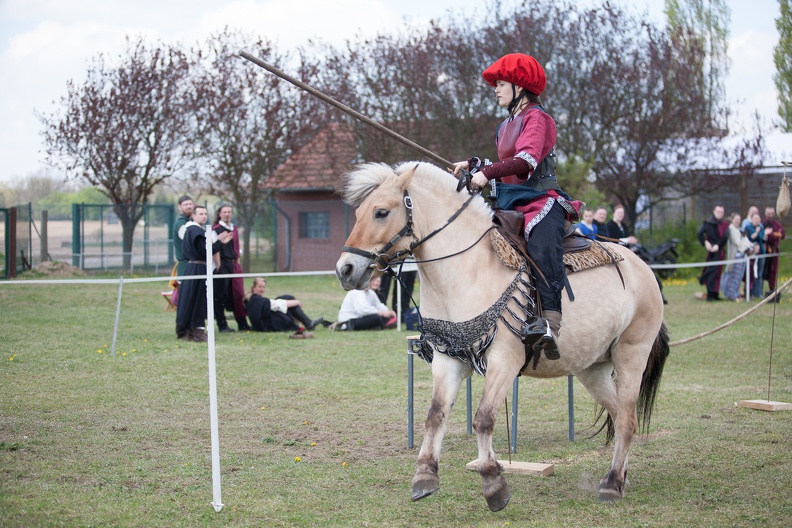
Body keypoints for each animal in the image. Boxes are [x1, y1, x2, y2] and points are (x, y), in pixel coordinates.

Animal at [334, 162, 668, 512]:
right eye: (359, 213)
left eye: (381, 212)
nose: (345, 269)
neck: (467, 269)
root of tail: (642, 267)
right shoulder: (447, 358)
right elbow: (435, 415)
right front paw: (425, 476)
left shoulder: (504, 360)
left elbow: (483, 418)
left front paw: (493, 483)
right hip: (593, 367)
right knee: (621, 415)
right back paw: (620, 476)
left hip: (631, 355)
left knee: (628, 419)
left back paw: (613, 484)